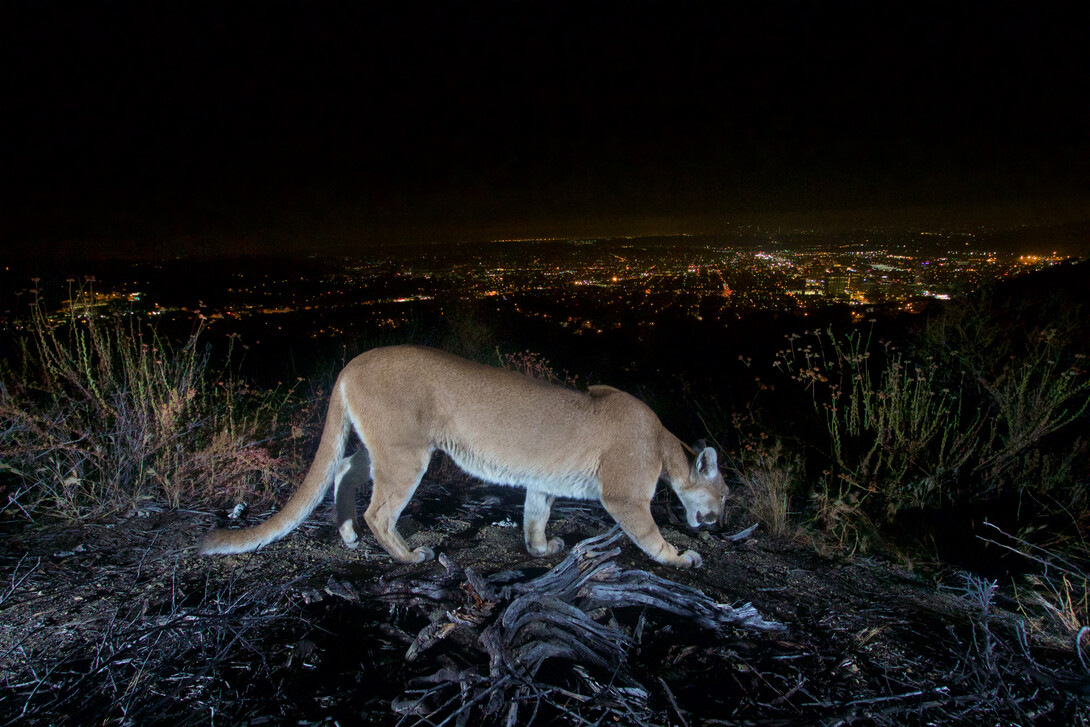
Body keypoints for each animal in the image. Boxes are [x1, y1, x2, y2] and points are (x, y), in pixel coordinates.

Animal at [199, 345, 727, 568]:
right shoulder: (625, 496)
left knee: (345, 468)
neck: (664, 441)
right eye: (724, 494)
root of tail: (353, 362)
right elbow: (648, 534)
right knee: (378, 510)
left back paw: (347, 533)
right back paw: (408, 555)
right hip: (407, 454)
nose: (720, 520)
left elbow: (535, 517)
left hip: (389, 447)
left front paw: (541, 549)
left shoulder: (542, 483)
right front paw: (680, 558)